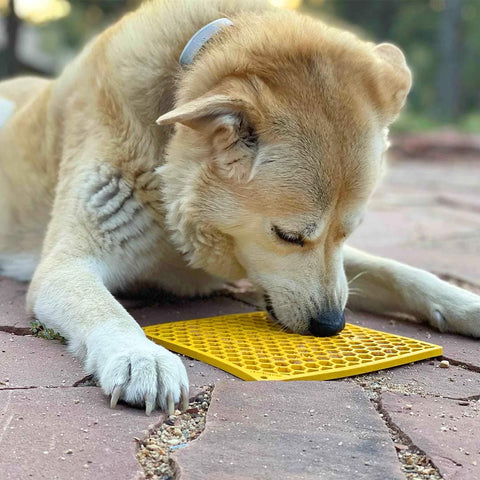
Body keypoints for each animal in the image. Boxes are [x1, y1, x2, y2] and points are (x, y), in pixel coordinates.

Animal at [0, 0, 480, 414]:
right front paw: (142, 356)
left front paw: (465, 303)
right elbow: (106, 309)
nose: (332, 326)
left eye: (348, 232)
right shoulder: (65, 266)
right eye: (288, 236)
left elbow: (399, 271)